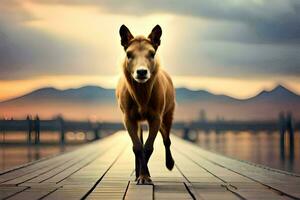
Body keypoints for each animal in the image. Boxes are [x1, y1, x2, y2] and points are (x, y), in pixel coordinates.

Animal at [115, 25, 176, 184]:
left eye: (152, 54)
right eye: (129, 54)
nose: (142, 72)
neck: (141, 95)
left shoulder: (156, 117)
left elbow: (148, 147)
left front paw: (144, 176)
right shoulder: (128, 118)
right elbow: (137, 147)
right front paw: (141, 175)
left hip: (168, 114)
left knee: (167, 139)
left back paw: (170, 163)